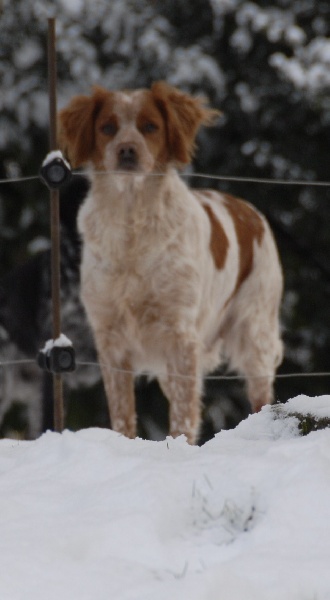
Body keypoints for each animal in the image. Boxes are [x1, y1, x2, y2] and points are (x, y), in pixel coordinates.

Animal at [58, 82, 282, 442]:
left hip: (255, 331)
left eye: (150, 126)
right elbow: (123, 414)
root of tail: (251, 211)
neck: (132, 224)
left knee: (261, 396)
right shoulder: (111, 338)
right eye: (107, 127)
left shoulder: (180, 336)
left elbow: (183, 414)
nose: (127, 150)